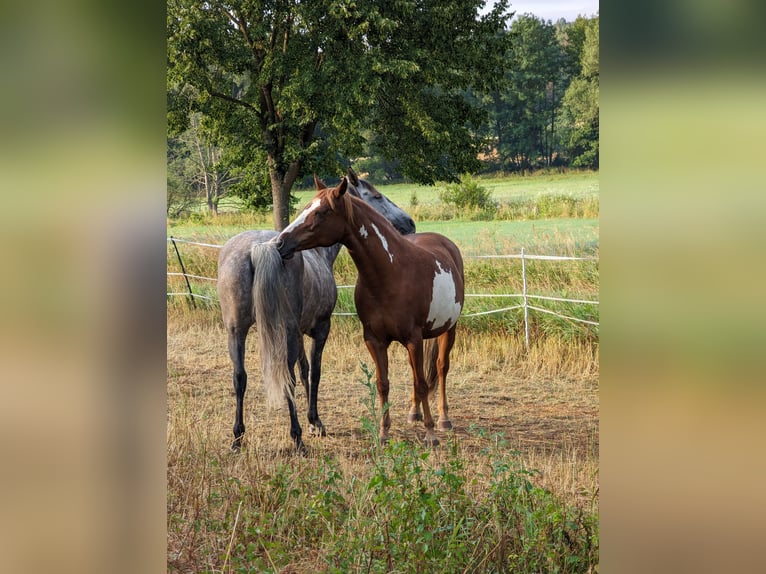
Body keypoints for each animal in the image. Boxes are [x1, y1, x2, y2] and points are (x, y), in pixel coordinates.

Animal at [219, 169, 416, 452]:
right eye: (376, 196)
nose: (409, 223)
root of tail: (258, 249)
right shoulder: (319, 329)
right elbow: (314, 373)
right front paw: (315, 423)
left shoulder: (299, 333)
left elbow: (304, 371)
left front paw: (312, 421)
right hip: (284, 331)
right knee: (286, 378)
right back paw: (297, 437)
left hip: (236, 331)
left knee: (240, 377)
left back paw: (238, 437)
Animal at [280, 178, 464, 448]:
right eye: (305, 208)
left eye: (321, 212)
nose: (281, 242)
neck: (391, 272)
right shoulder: (375, 340)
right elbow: (383, 383)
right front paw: (384, 432)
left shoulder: (414, 338)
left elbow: (421, 383)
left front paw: (430, 434)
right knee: (415, 371)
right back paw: (414, 413)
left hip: (448, 329)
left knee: (440, 368)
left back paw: (443, 419)